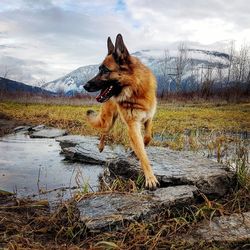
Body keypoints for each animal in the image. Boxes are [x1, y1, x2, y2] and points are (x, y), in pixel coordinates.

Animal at [83, 33, 158, 189]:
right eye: (99, 69)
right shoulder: (133, 125)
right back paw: (100, 146)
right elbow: (143, 153)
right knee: (103, 132)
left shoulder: (148, 118)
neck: (135, 90)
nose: (84, 86)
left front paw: (136, 150)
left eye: (105, 70)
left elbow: (147, 138)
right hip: (109, 121)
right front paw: (150, 177)